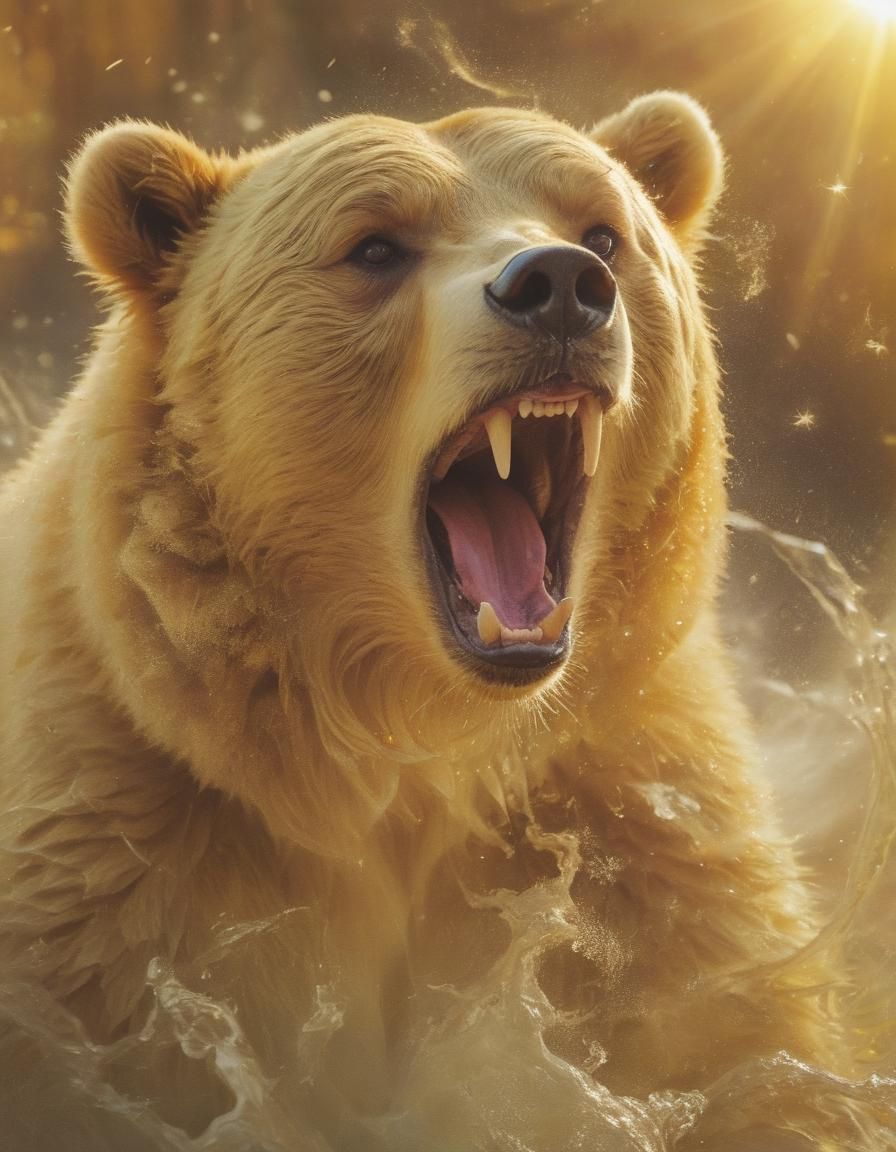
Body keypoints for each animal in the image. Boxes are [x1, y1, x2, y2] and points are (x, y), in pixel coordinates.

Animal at [0, 94, 852, 1149]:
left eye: (603, 232)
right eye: (374, 245)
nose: (558, 286)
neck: (413, 735)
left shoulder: (642, 839)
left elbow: (735, 1046)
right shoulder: (117, 843)